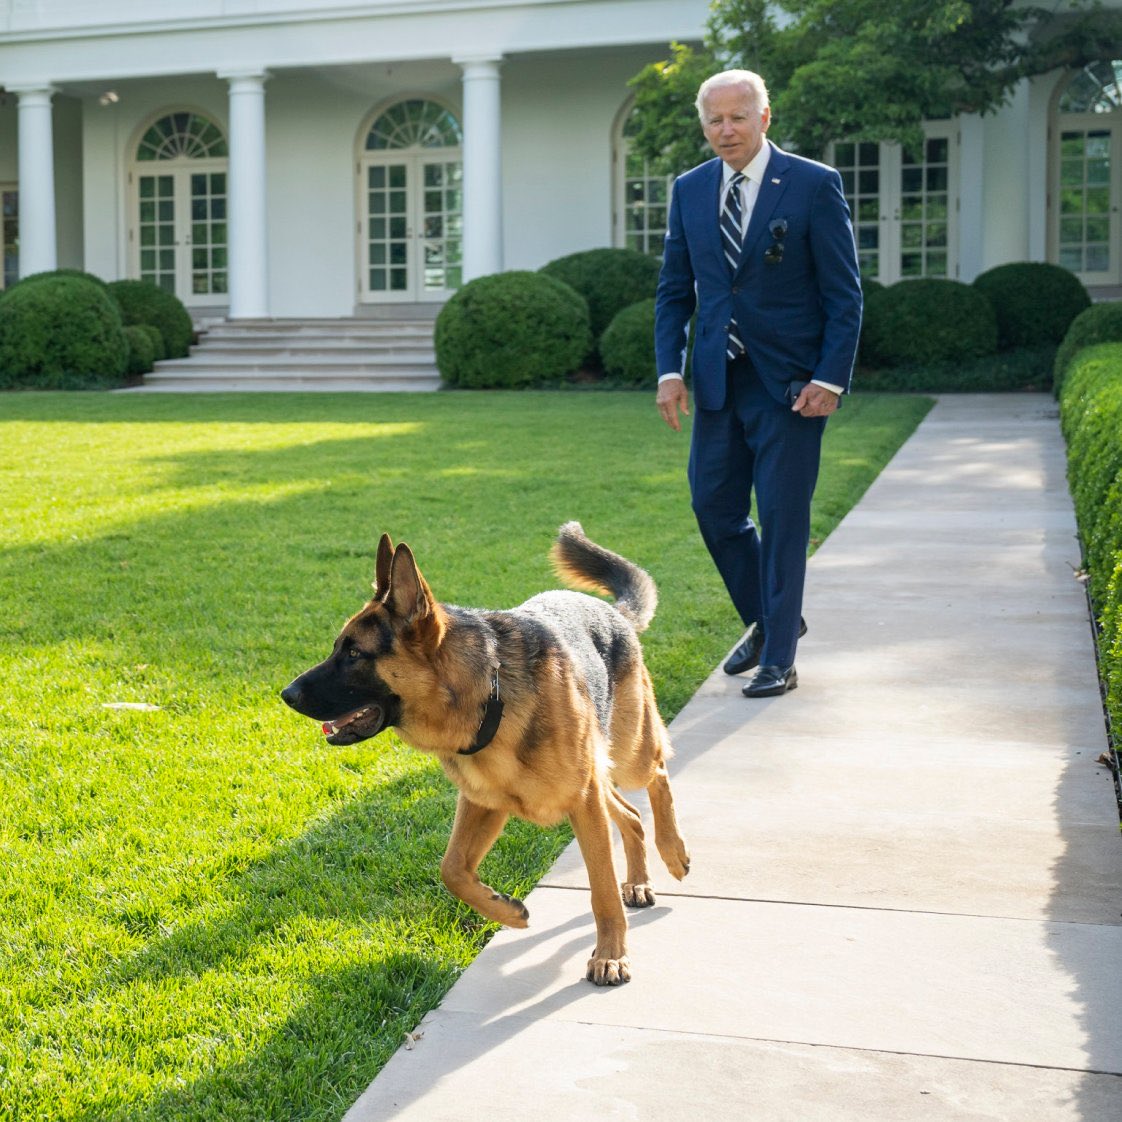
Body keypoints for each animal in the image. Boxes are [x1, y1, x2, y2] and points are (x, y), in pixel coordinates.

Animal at [280, 520, 686, 987]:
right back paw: (637, 881)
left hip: (628, 753)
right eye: (337, 648)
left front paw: (610, 956)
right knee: (632, 815)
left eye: (353, 653)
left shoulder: (583, 804)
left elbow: (601, 891)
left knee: (658, 774)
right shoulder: (485, 804)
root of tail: (613, 613)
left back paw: (674, 852)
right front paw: (506, 911)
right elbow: (452, 870)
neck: (487, 696)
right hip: (598, 780)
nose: (286, 695)